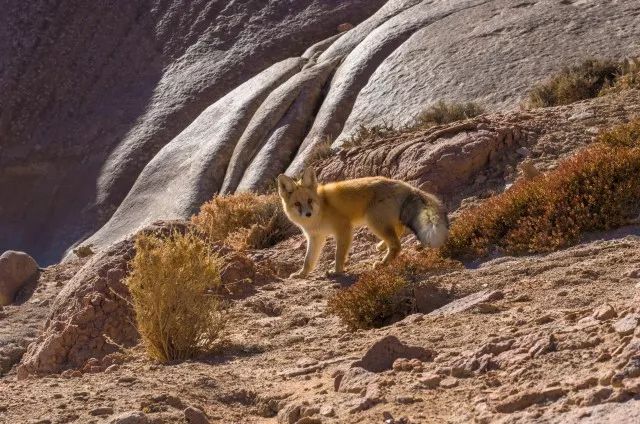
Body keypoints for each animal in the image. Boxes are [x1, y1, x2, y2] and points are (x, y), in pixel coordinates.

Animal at [276, 166, 450, 278]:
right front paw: (302, 274)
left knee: (396, 244)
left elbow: (339, 255)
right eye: (297, 204)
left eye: (310, 201)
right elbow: (308, 260)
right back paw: (382, 246)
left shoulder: (344, 229)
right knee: (399, 231)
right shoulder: (315, 237)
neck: (322, 209)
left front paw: (337, 272)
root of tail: (405, 185)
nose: (308, 214)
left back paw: (382, 263)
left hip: (374, 222)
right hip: (381, 222)